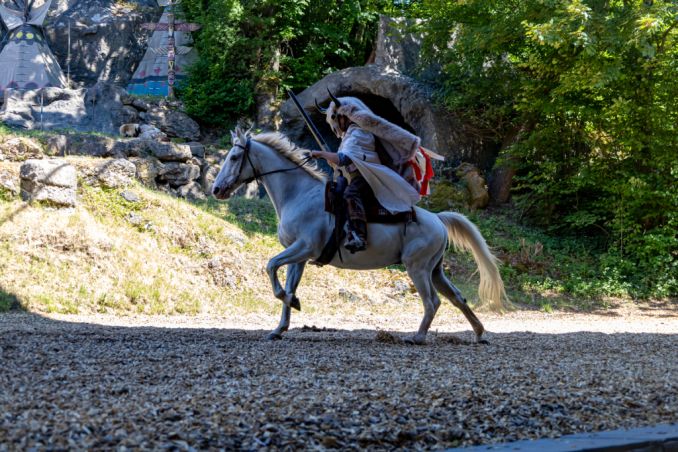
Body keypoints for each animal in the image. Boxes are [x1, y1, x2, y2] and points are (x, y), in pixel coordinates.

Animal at [215, 127, 508, 342]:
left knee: (432, 301)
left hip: (418, 268)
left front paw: (292, 305)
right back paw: (479, 334)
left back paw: (418, 337)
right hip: (435, 270)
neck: (298, 194)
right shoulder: (298, 257)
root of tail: (437, 219)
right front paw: (281, 324)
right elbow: (285, 285)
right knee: (457, 298)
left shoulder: (304, 248)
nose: (217, 189)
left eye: (233, 157)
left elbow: (270, 265)